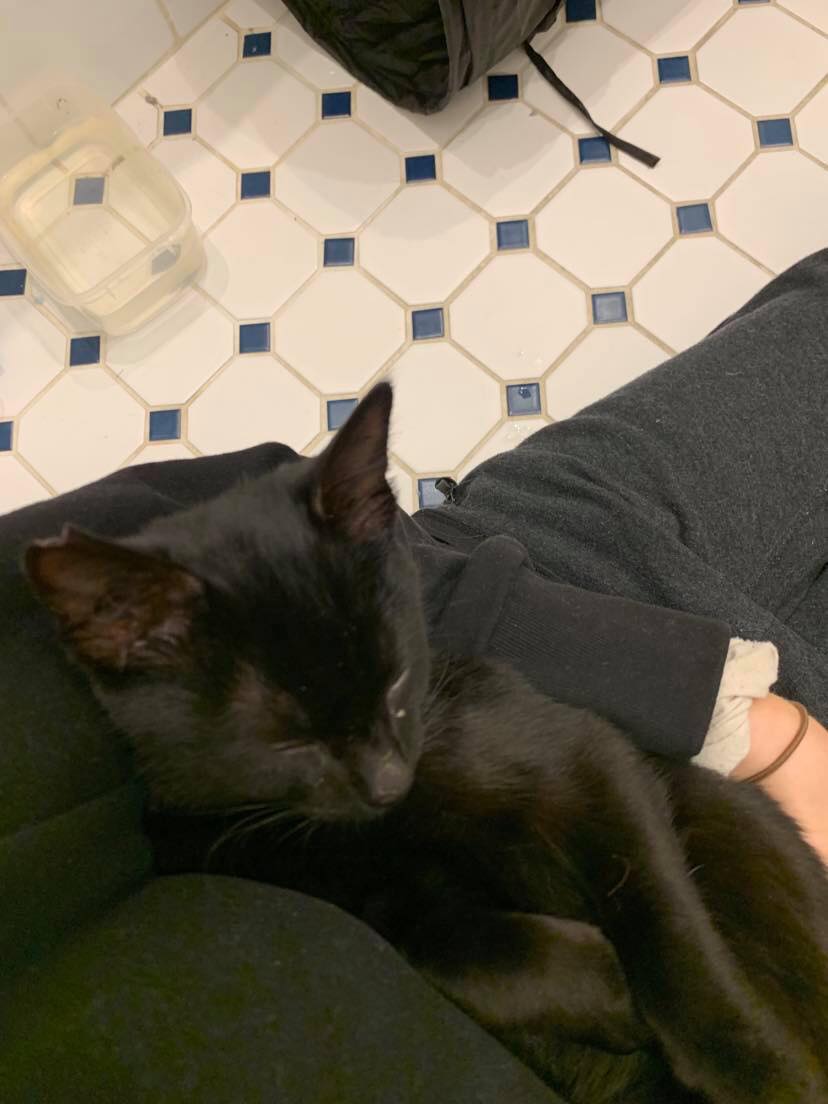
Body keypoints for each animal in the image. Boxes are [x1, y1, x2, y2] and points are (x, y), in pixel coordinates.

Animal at [25, 383, 828, 1104]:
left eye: (398, 679)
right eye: (285, 742)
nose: (386, 779)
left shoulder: (586, 757)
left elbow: (664, 921)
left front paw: (758, 1072)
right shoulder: (325, 884)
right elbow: (446, 945)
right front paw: (604, 988)